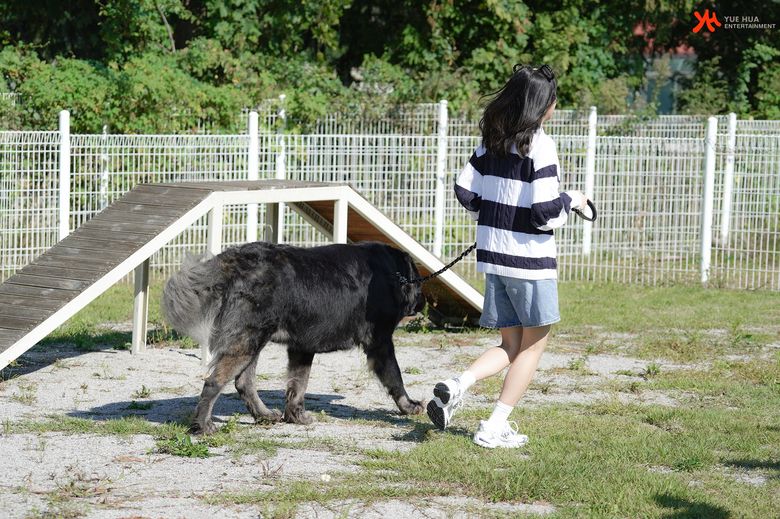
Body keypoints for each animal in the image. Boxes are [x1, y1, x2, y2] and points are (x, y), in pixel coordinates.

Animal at [161, 243, 424, 434]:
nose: (422, 303)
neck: (393, 273)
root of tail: (235, 262)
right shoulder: (380, 343)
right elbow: (395, 378)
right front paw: (409, 406)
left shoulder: (302, 347)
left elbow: (298, 385)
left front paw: (295, 416)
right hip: (248, 340)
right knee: (214, 381)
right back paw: (203, 425)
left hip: (252, 341)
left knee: (243, 383)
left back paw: (264, 415)